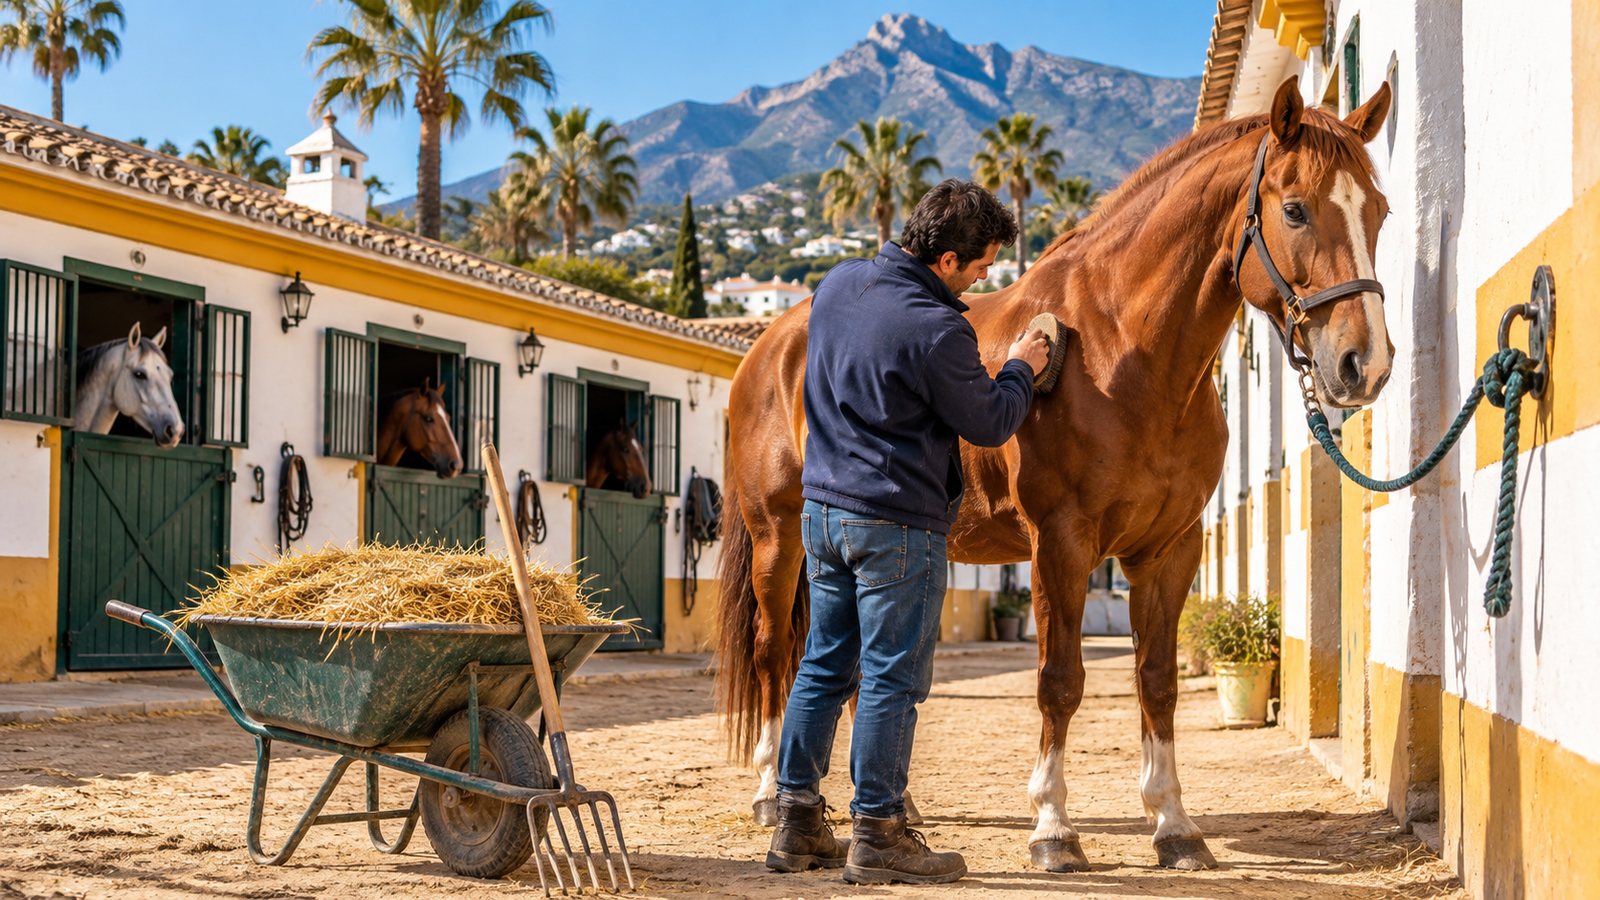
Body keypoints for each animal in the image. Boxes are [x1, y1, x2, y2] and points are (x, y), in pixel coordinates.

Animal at [714, 77, 1395, 871]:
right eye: (1294, 209)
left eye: (1379, 210)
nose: (1364, 364)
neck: (1123, 351)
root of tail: (770, 346)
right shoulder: (1062, 545)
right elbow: (1060, 681)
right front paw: (1053, 829)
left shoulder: (1169, 550)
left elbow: (1156, 681)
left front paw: (1174, 826)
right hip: (779, 539)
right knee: (775, 655)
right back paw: (772, 795)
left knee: (857, 671)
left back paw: (890, 810)